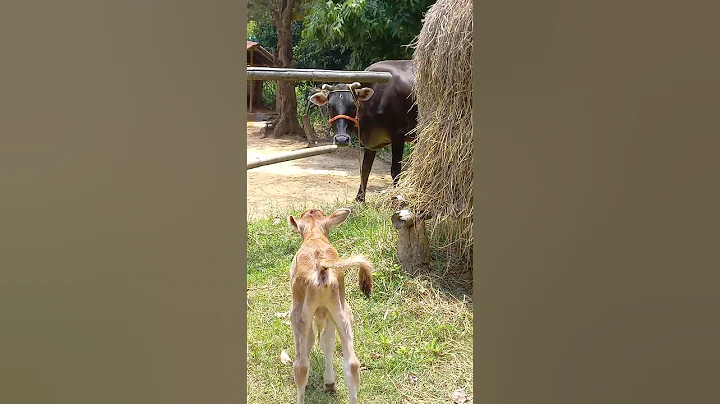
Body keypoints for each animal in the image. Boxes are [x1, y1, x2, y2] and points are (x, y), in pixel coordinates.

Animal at [308, 60, 418, 202]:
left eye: (353, 106)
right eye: (329, 106)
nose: (342, 139)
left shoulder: (398, 135)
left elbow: (395, 171)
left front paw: (395, 196)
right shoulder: (371, 143)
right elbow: (365, 169)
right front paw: (359, 198)